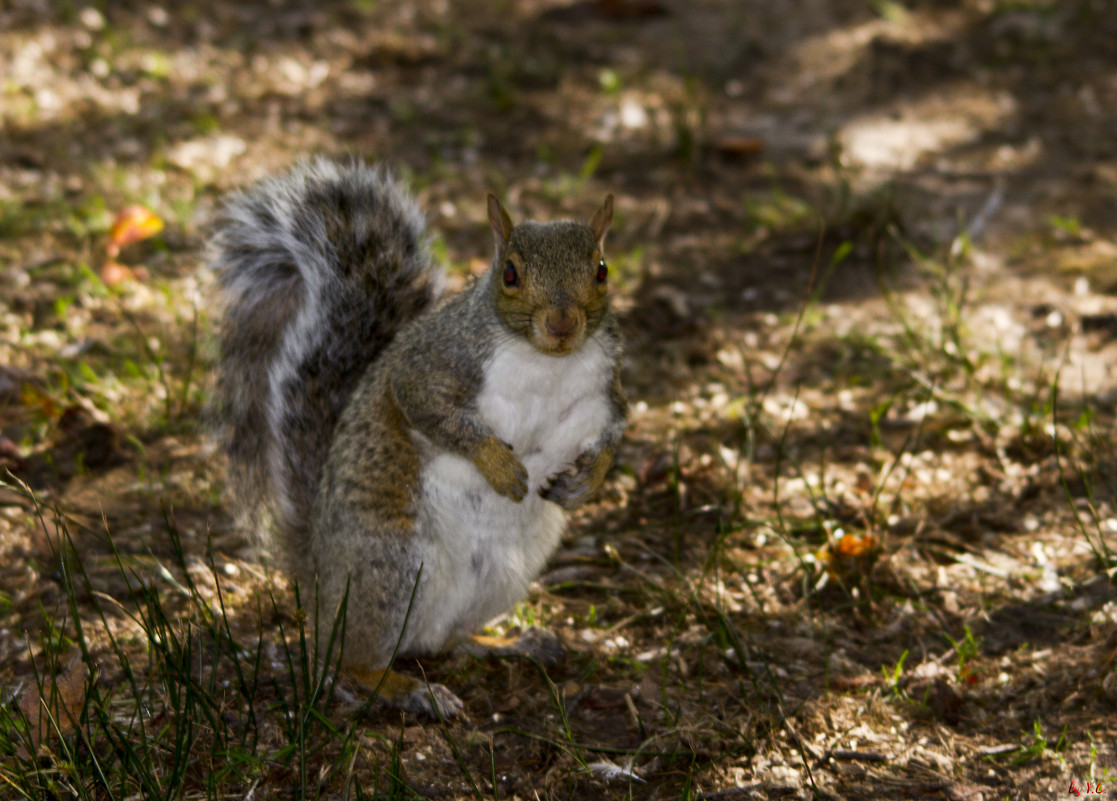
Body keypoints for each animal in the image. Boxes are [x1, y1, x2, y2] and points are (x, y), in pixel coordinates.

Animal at [209, 159, 629, 714]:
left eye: (601, 270)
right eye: (510, 273)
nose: (563, 324)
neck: (548, 362)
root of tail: (318, 572)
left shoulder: (605, 392)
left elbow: (615, 432)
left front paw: (586, 481)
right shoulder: (430, 363)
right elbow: (430, 410)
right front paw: (497, 465)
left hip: (498, 579)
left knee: (445, 641)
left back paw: (509, 643)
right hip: (389, 568)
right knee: (348, 659)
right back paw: (408, 689)